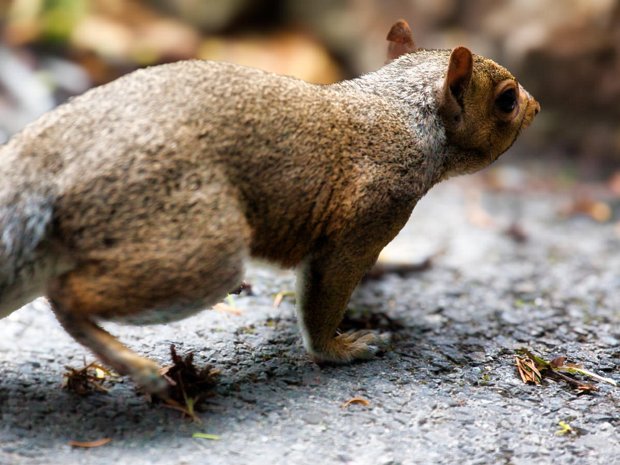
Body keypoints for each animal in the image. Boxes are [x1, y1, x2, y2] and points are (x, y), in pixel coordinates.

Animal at [0, 20, 536, 394]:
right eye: (506, 100)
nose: (535, 106)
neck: (400, 111)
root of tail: (47, 163)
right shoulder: (363, 221)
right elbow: (323, 297)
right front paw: (339, 347)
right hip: (201, 252)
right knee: (66, 297)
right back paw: (140, 369)